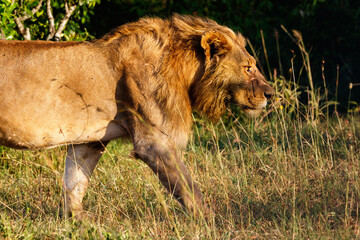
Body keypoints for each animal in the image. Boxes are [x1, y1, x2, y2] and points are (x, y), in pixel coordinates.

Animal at [0, 14, 274, 218]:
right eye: (248, 68)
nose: (271, 94)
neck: (183, 68)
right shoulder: (155, 142)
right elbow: (189, 189)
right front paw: (211, 222)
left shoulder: (89, 140)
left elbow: (74, 183)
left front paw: (76, 223)